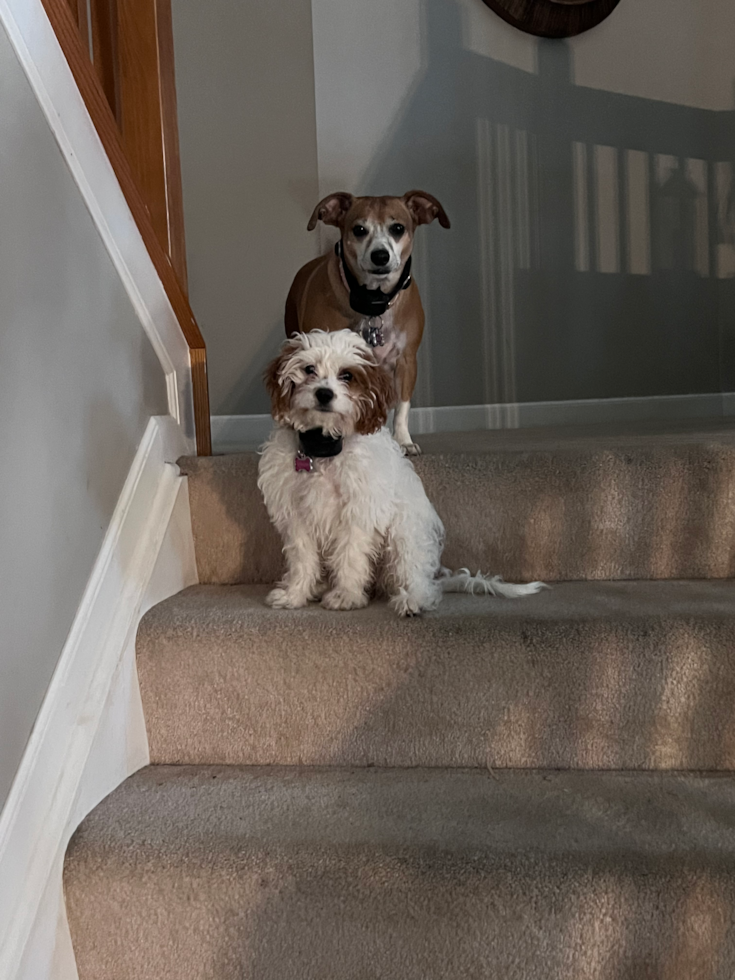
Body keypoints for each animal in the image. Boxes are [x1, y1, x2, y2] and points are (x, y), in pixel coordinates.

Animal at [258, 334, 548, 616]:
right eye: (309, 369)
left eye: (347, 375)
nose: (324, 393)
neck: (323, 447)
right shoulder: (294, 513)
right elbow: (302, 557)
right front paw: (295, 594)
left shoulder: (358, 511)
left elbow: (350, 555)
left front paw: (346, 596)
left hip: (405, 532)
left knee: (418, 580)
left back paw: (412, 600)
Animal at [286, 189, 448, 454]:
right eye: (359, 229)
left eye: (398, 228)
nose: (380, 255)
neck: (373, 302)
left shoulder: (406, 360)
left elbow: (402, 407)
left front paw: (403, 440)